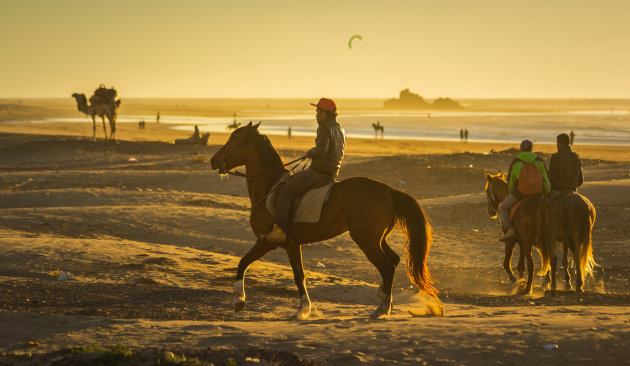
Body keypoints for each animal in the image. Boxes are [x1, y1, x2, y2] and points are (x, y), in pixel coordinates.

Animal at [210, 122, 442, 318]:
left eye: (234, 138)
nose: (213, 161)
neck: (270, 187)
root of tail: (390, 191)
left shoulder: (270, 242)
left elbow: (256, 266)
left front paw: (243, 301)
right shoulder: (287, 244)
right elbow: (289, 272)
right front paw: (302, 309)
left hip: (366, 240)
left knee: (386, 266)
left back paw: (382, 309)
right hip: (377, 239)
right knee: (393, 260)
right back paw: (383, 300)